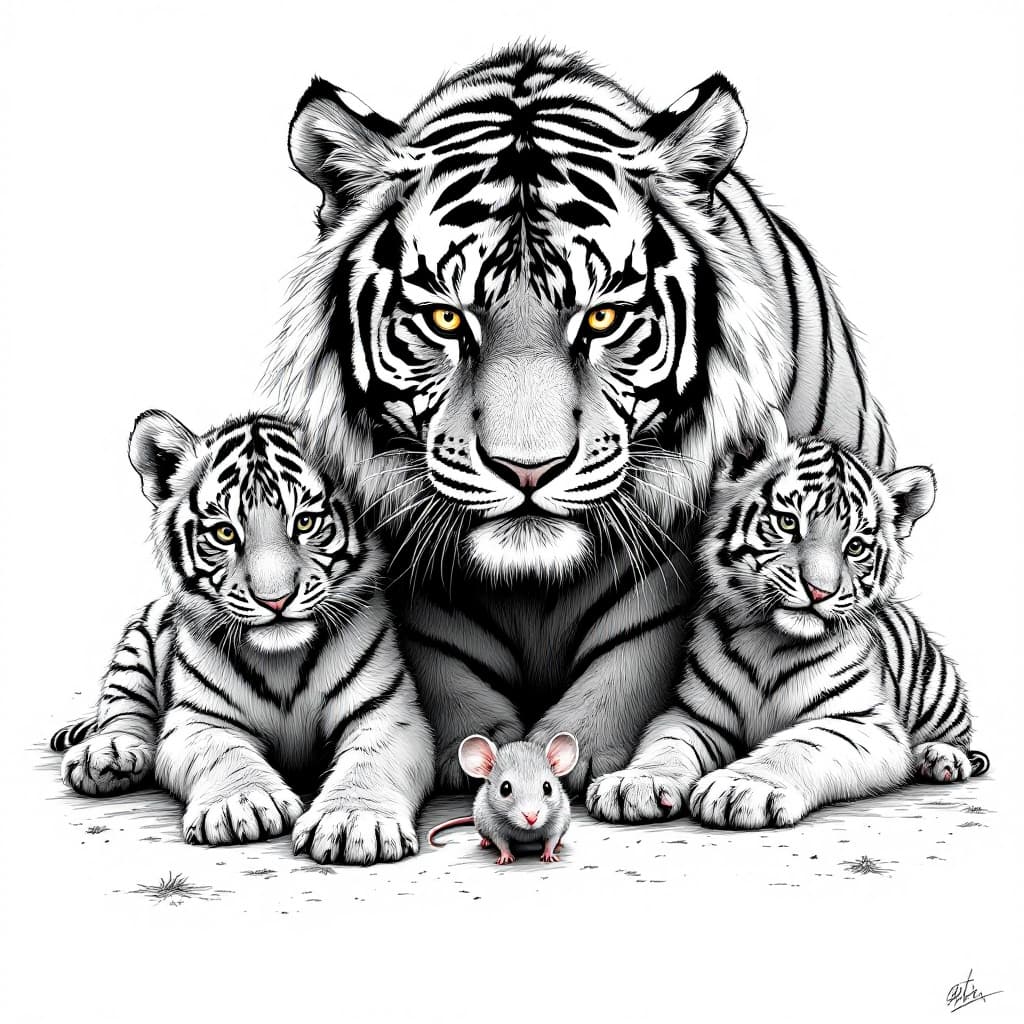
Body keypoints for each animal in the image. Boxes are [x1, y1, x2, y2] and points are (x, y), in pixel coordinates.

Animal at [51, 410, 434, 864]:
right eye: (224, 533)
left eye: (305, 522)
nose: (276, 600)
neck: (283, 659)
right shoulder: (198, 720)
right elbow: (223, 753)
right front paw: (242, 803)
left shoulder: (389, 713)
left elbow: (369, 761)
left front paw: (353, 820)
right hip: (137, 639)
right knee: (122, 708)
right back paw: (105, 753)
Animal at [265, 43, 898, 796]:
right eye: (446, 318)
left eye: (602, 317)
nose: (527, 470)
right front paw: (481, 749)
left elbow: (635, 652)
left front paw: (582, 750)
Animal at [587, 409, 988, 828]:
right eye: (787, 523)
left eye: (855, 546)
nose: (819, 591)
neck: (770, 641)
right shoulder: (693, 714)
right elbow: (666, 743)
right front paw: (636, 783)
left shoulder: (861, 721)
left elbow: (798, 745)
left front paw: (741, 788)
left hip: (938, 694)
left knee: (957, 737)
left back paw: (941, 758)